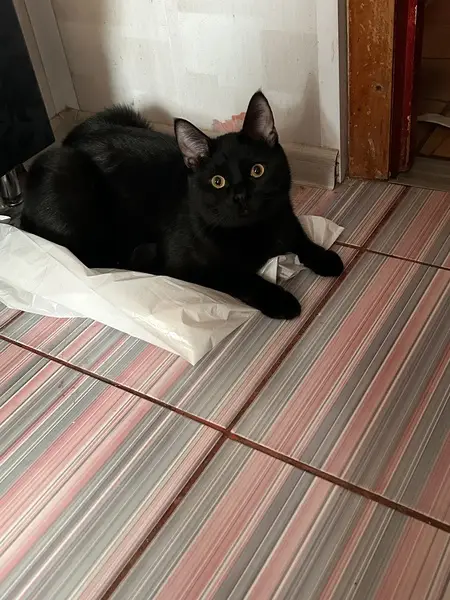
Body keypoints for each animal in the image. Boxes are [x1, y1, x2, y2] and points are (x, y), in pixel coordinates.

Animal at [21, 91, 343, 319]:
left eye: (257, 171)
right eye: (217, 181)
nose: (241, 196)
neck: (255, 231)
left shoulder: (284, 216)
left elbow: (301, 238)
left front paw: (326, 258)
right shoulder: (188, 267)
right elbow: (241, 277)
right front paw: (280, 299)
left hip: (122, 114)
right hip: (68, 173)